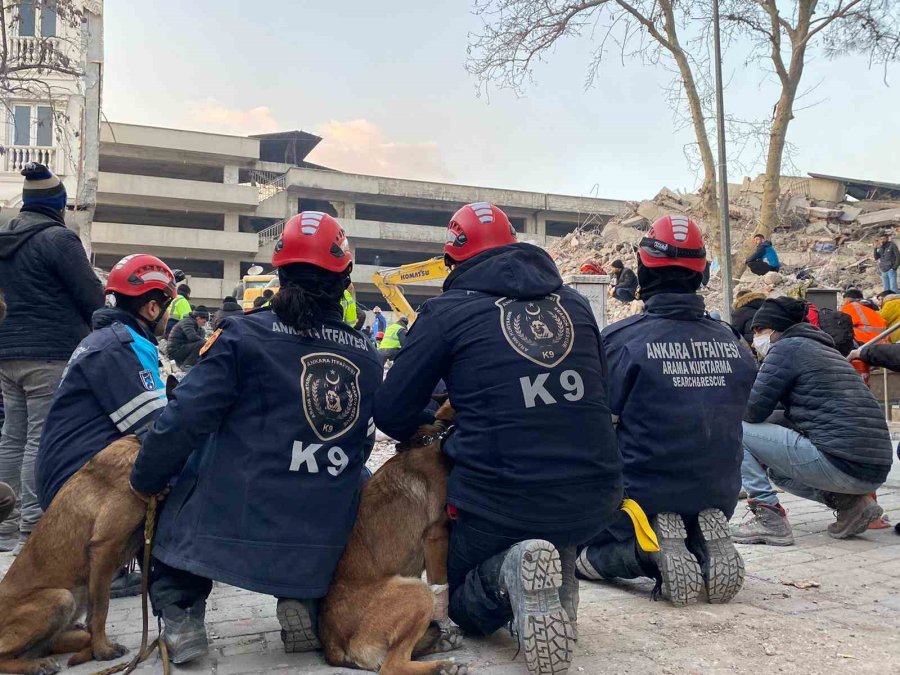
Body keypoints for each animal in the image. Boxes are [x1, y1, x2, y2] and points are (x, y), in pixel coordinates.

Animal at [0, 436, 146, 672]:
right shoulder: (104, 549)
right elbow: (100, 610)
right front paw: (102, 650)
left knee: (53, 642)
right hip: (62, 597)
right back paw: (37, 665)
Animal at [322, 402, 464, 675]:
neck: (442, 434)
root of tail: (332, 645)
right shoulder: (437, 536)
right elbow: (442, 587)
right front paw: (446, 623)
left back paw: (440, 645)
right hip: (417, 592)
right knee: (393, 665)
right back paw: (443, 665)